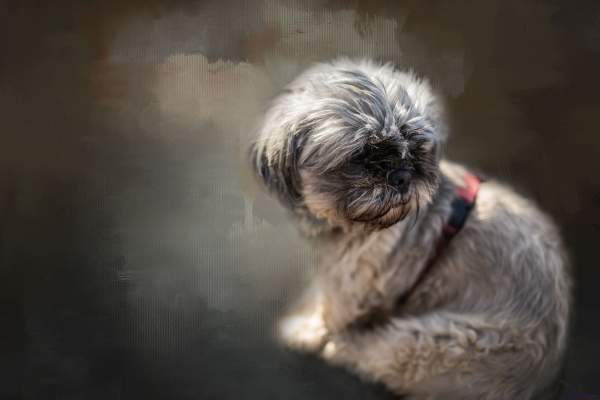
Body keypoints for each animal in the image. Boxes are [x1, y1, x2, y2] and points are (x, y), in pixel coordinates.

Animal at [248, 57, 572, 398]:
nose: (403, 175)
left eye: (416, 149)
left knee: (373, 353)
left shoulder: (352, 285)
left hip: (432, 344)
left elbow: (328, 315)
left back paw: (344, 347)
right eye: (362, 155)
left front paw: (305, 330)